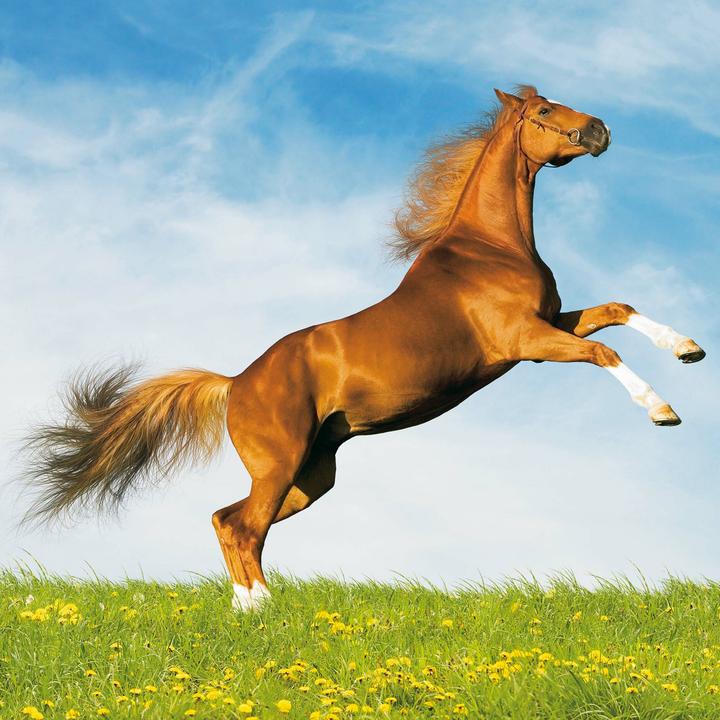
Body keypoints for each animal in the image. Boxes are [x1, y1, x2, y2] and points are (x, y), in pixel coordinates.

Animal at [23, 85, 705, 611]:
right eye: (543, 113)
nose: (600, 130)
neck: (490, 248)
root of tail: (235, 382)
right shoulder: (526, 341)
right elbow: (605, 354)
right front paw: (663, 410)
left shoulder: (553, 321)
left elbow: (617, 310)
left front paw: (689, 349)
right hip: (280, 463)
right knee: (242, 526)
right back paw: (264, 608)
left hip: (311, 475)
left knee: (228, 519)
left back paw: (249, 609)